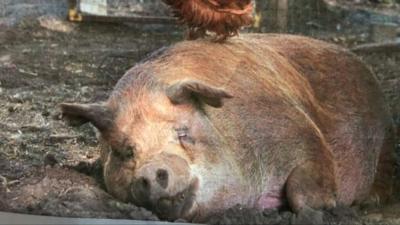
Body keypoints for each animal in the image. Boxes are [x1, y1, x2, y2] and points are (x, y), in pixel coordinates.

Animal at [61, 33, 396, 223]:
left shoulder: (304, 135)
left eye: (183, 132)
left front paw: (322, 210)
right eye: (125, 150)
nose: (152, 170)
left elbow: (304, 183)